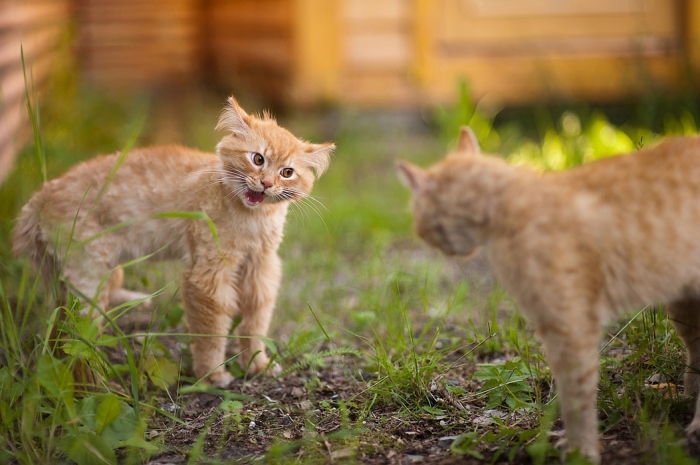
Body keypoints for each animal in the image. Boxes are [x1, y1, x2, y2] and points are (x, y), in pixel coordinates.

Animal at [12, 96, 334, 386]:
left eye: (287, 172)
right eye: (258, 159)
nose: (266, 183)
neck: (252, 220)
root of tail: (41, 195)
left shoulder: (261, 268)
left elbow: (255, 322)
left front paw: (257, 364)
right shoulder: (207, 276)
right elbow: (211, 333)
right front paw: (212, 374)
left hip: (100, 270)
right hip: (88, 280)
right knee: (73, 338)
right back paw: (95, 383)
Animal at [400, 127, 700, 460]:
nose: (424, 237)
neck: (506, 202)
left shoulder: (570, 324)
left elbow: (575, 397)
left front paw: (581, 452)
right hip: (683, 305)